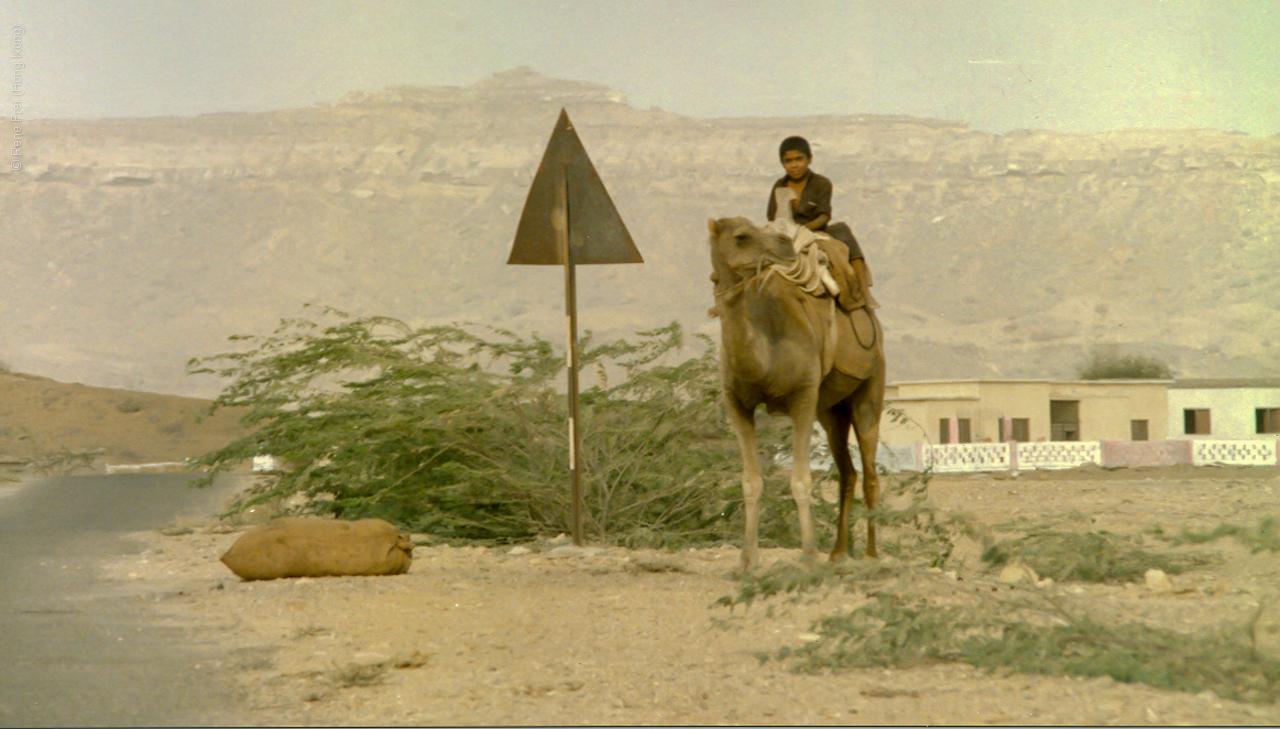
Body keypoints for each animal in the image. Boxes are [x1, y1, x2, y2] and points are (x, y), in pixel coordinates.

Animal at [706, 218, 885, 570]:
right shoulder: (735, 402)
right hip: (830, 411)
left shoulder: (803, 394)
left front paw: (809, 557)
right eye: (742, 236)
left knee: (870, 470)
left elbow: (801, 480)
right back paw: (838, 553)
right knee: (847, 471)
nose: (785, 246)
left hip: (870, 390)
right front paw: (747, 561)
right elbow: (750, 481)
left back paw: (871, 555)